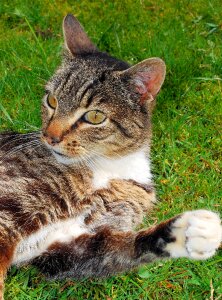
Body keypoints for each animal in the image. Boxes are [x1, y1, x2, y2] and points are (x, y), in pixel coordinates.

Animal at [0, 13, 222, 298]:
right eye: (52, 100)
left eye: (95, 116)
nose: (50, 137)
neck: (108, 168)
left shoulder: (61, 248)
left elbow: (121, 247)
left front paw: (186, 232)